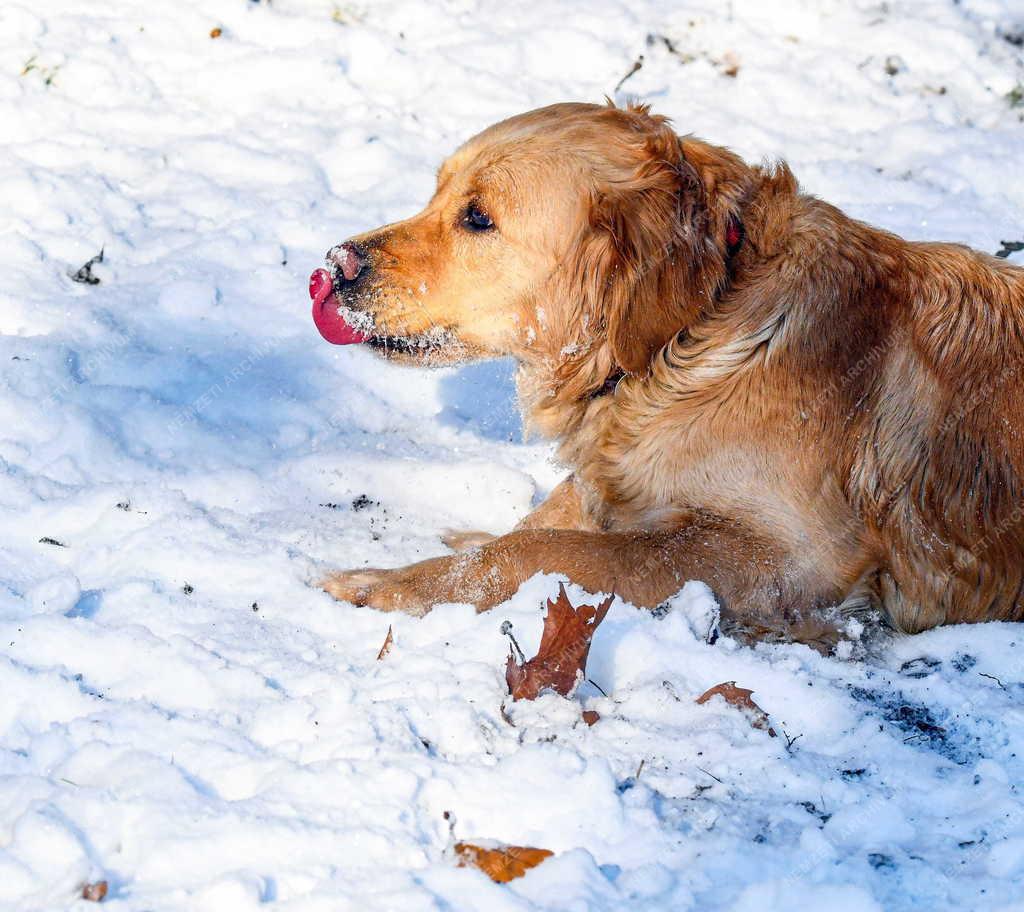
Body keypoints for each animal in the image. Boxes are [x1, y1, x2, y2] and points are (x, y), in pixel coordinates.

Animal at [309, 103, 1024, 650]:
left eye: (478, 217)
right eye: (437, 192)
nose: (334, 265)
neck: (688, 332)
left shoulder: (790, 557)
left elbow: (548, 551)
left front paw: (387, 584)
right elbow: (552, 519)